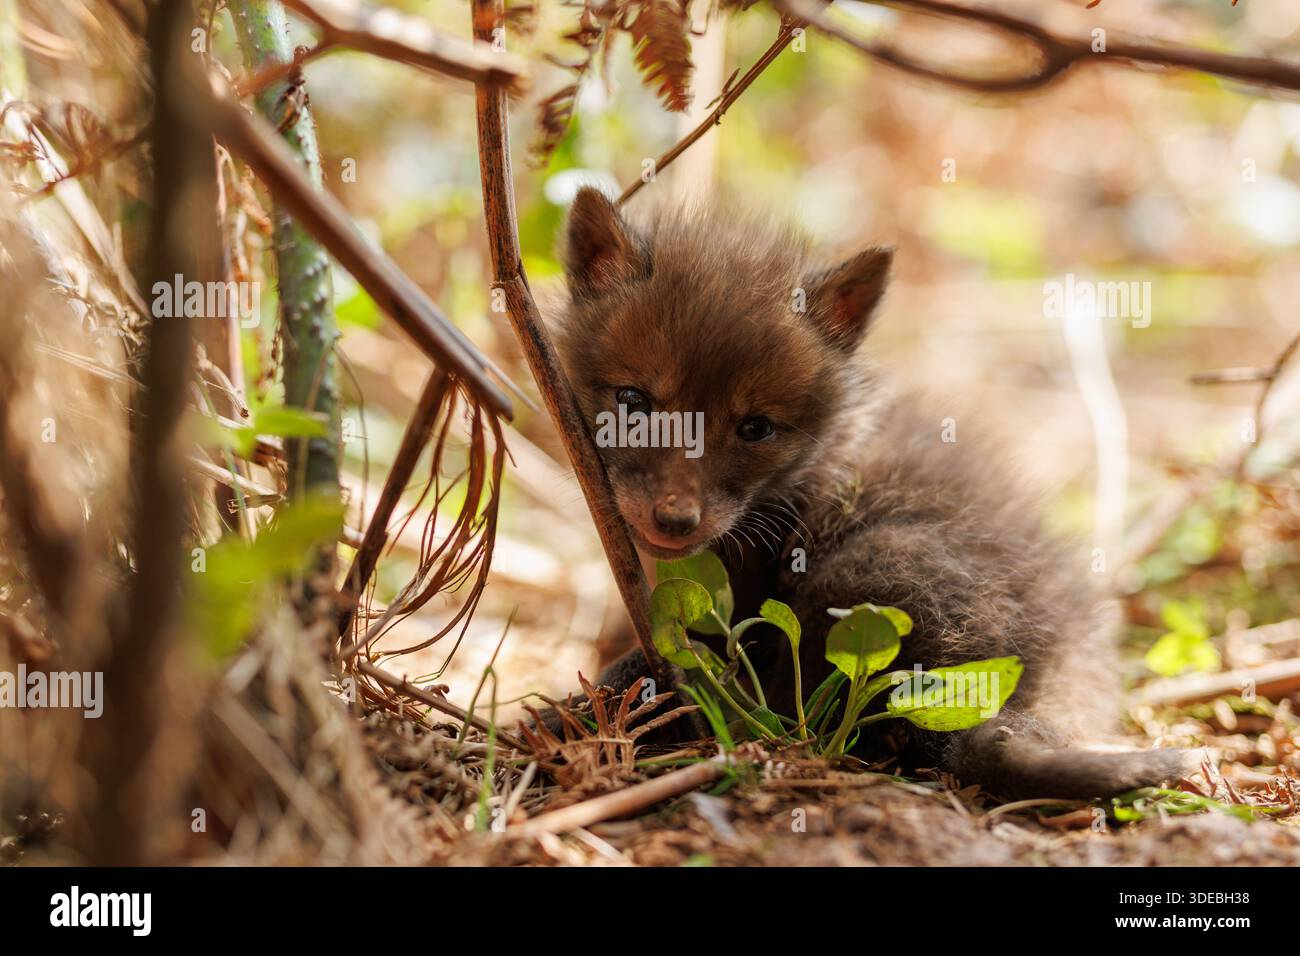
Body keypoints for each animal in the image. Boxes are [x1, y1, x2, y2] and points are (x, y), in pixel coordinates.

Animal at [545, 186, 1192, 800]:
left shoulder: (740, 604)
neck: (807, 473)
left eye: (755, 428)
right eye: (633, 401)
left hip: (861, 574)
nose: (676, 520)